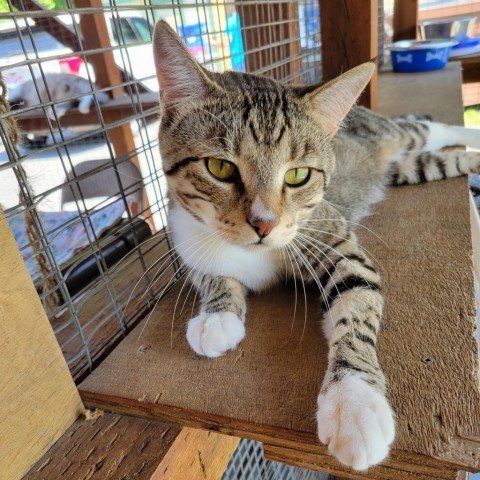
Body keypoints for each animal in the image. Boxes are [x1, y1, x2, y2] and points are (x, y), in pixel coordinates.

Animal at [153, 20, 480, 470]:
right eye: (219, 167)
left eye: (298, 175)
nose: (264, 224)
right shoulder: (184, 233)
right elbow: (210, 273)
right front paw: (217, 315)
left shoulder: (338, 242)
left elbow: (357, 306)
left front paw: (354, 402)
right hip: (412, 168)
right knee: (442, 158)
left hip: (397, 136)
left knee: (432, 129)